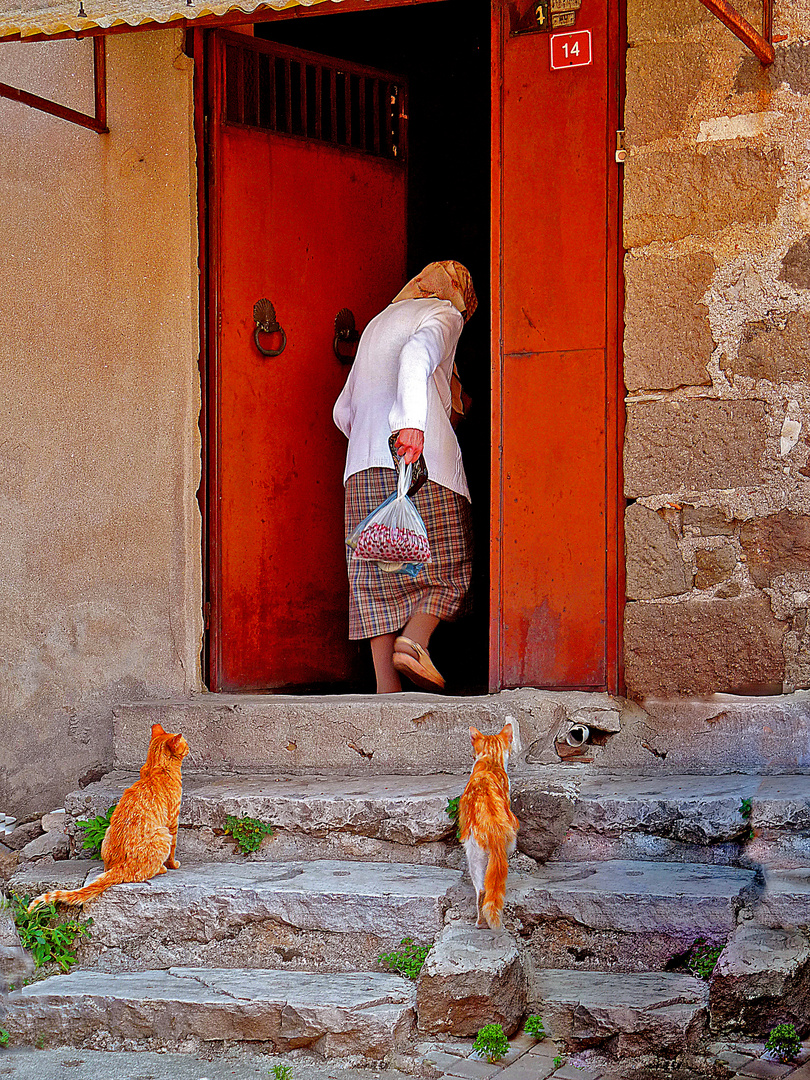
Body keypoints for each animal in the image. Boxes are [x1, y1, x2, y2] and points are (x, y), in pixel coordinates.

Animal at [27, 725, 190, 911]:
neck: (156, 767)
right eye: (185, 743)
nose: (190, 748)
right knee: (144, 873)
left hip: (108, 832)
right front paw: (173, 865)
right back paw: (162, 868)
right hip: (163, 834)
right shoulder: (173, 822)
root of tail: (119, 866)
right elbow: (173, 850)